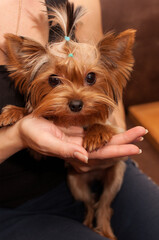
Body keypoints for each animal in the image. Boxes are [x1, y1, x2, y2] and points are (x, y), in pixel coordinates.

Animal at [0, 0, 135, 239]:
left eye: (91, 77)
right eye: (54, 80)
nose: (76, 104)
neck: (77, 119)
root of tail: (93, 177)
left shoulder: (119, 130)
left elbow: (106, 125)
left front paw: (96, 133)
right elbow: (35, 117)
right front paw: (14, 112)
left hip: (115, 176)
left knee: (104, 205)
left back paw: (105, 230)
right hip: (75, 182)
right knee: (90, 203)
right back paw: (88, 224)